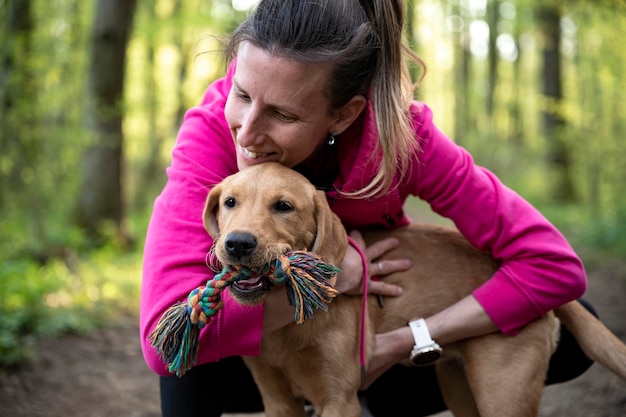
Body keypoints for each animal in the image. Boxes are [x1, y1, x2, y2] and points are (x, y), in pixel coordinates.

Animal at [202, 162, 620, 416]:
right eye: (230, 203)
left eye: (284, 206)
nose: (238, 243)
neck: (288, 325)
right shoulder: (277, 399)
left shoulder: (339, 399)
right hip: (459, 386)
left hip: (504, 393)